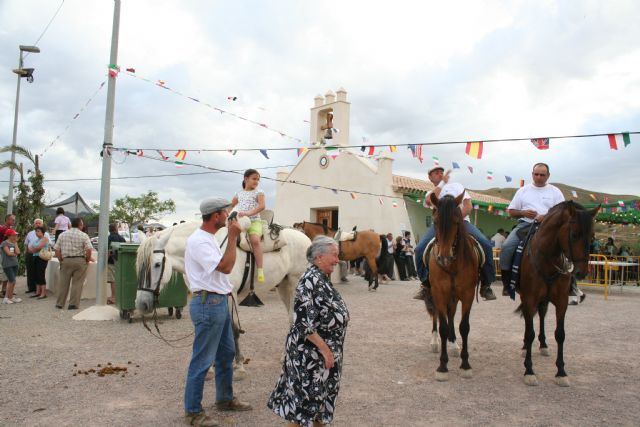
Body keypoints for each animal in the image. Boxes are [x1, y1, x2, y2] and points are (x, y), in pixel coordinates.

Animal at [136, 221, 312, 374]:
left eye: (157, 264)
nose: (142, 304)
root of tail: (305, 238)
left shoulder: (229, 295)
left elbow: (233, 329)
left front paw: (239, 365)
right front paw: (211, 366)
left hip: (294, 285)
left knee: (293, 319)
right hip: (283, 287)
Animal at [424, 193, 480, 382]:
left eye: (456, 221)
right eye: (435, 221)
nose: (444, 258)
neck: (453, 266)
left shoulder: (468, 295)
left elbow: (464, 327)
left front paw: (465, 365)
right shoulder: (439, 294)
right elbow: (442, 327)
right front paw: (442, 366)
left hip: (454, 298)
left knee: (451, 316)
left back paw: (454, 343)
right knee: (436, 317)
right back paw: (435, 342)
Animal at [516, 201, 596, 388]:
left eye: (592, 237)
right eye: (574, 235)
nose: (581, 272)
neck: (547, 259)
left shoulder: (561, 302)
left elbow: (560, 334)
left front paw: (561, 372)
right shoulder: (529, 299)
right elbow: (529, 333)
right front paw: (529, 370)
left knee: (542, 315)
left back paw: (543, 345)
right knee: (529, 323)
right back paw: (525, 348)